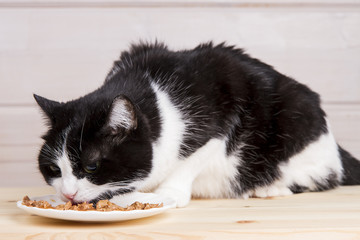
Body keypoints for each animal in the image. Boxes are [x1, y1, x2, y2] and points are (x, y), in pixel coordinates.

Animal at [34, 41, 360, 206]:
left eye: (91, 166)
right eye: (53, 169)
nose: (67, 194)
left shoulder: (222, 122)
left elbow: (193, 158)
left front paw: (168, 194)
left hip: (298, 120)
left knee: (325, 176)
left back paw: (269, 189)